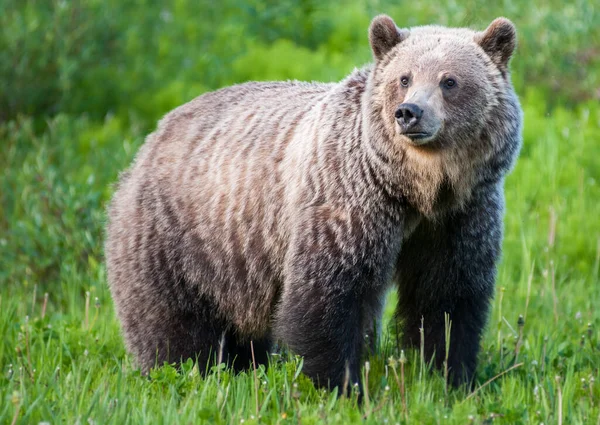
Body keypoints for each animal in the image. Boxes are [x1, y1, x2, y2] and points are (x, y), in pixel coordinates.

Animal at [105, 14, 524, 390]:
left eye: (449, 81)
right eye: (404, 78)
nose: (409, 113)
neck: (417, 189)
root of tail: (150, 138)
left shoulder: (461, 216)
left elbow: (446, 297)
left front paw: (448, 378)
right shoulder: (350, 201)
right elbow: (328, 295)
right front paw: (337, 384)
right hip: (178, 236)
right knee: (172, 325)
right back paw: (182, 371)